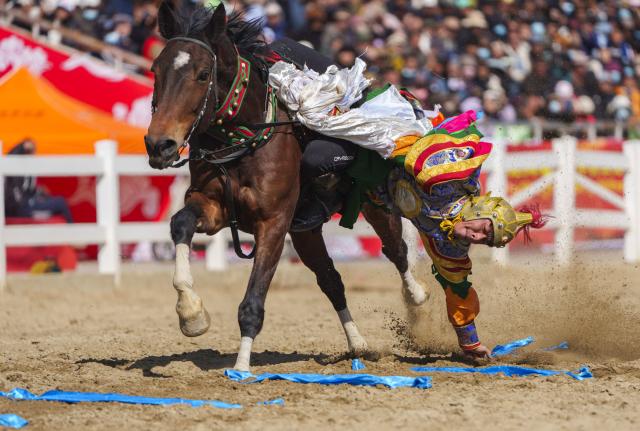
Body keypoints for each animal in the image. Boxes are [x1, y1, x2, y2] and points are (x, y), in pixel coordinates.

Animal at [143, 1, 427, 371]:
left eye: (203, 74)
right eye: (155, 70)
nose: (159, 144)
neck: (244, 141)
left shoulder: (273, 224)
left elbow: (253, 301)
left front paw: (241, 367)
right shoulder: (213, 207)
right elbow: (181, 223)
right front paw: (191, 313)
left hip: (373, 206)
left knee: (397, 251)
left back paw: (417, 295)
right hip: (305, 232)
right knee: (331, 280)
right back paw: (358, 344)